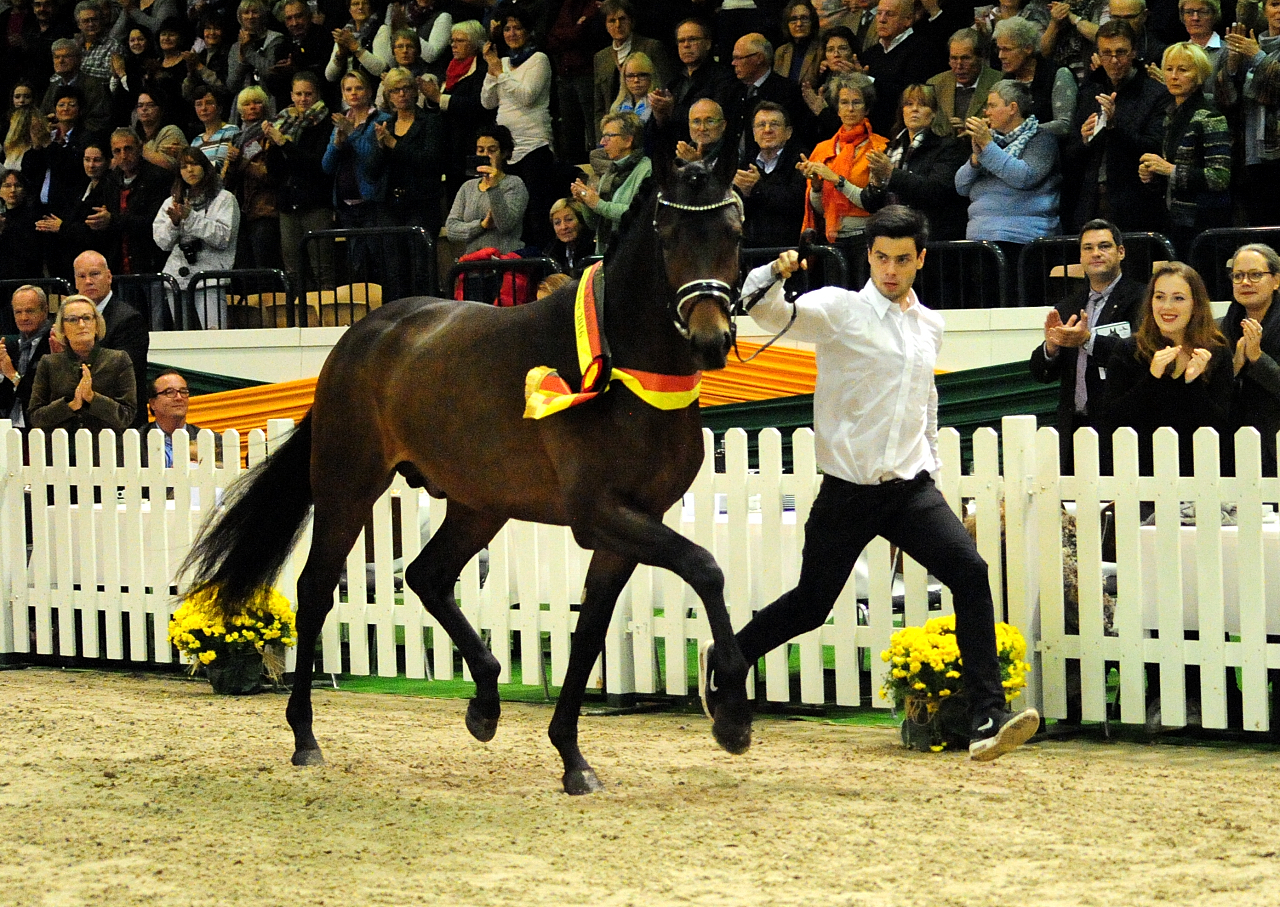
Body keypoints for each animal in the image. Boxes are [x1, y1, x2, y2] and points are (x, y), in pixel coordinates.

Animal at [185, 152, 752, 788]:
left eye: (733, 233)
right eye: (668, 234)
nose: (711, 338)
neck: (627, 376)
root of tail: (359, 336)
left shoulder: (631, 524)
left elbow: (590, 630)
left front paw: (571, 755)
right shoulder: (601, 515)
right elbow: (705, 568)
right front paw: (732, 715)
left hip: (479, 506)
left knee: (426, 576)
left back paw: (484, 699)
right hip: (348, 486)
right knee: (316, 590)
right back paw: (305, 735)